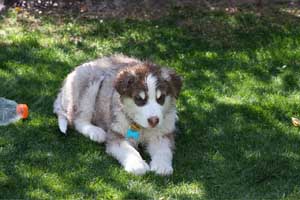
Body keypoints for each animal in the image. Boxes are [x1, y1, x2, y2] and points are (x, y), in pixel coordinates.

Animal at [52, 54, 182, 175]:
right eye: (139, 99)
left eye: (161, 98)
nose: (154, 121)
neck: (140, 127)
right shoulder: (116, 134)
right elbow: (128, 150)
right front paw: (137, 165)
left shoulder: (162, 133)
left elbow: (164, 150)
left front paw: (162, 166)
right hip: (89, 85)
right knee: (78, 120)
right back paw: (96, 132)